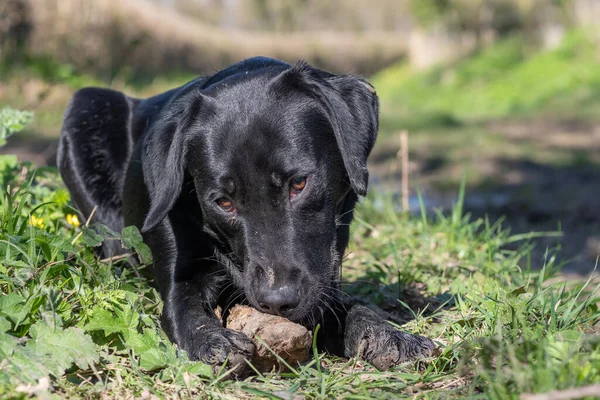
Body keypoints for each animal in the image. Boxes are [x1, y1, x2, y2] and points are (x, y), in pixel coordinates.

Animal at [58, 57, 434, 376]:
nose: (277, 302)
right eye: (224, 202)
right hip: (88, 104)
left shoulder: (324, 274)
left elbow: (348, 305)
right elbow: (183, 309)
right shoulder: (179, 267)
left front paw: (388, 334)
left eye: (299, 183)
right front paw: (212, 342)